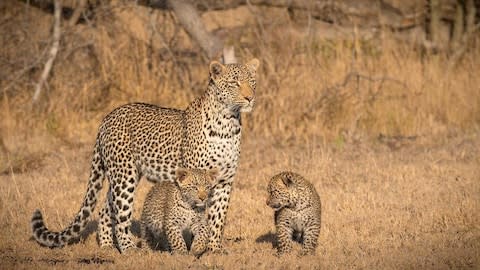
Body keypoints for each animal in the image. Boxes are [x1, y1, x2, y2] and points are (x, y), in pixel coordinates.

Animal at [31, 57, 258, 253]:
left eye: (252, 82)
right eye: (234, 83)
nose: (250, 98)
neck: (228, 124)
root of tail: (107, 118)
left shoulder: (224, 180)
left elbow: (218, 217)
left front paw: (214, 248)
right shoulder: (195, 176)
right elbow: (198, 212)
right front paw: (194, 246)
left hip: (123, 175)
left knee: (106, 209)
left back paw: (107, 246)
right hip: (124, 177)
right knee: (121, 214)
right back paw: (129, 249)